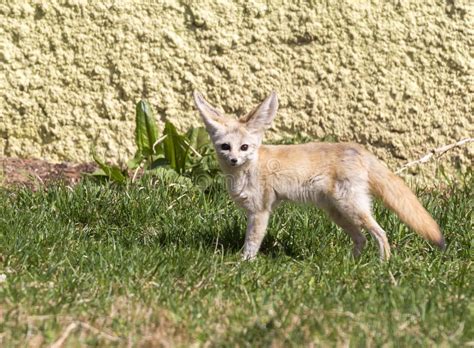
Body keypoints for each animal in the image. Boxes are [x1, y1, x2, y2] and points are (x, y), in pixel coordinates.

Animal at [193, 91, 444, 260]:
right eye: (226, 147)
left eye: (244, 147)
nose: (234, 160)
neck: (247, 171)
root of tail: (358, 148)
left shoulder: (260, 211)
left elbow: (252, 242)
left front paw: (244, 263)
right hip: (338, 213)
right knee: (361, 238)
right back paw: (352, 264)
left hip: (352, 208)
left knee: (380, 233)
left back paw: (383, 264)